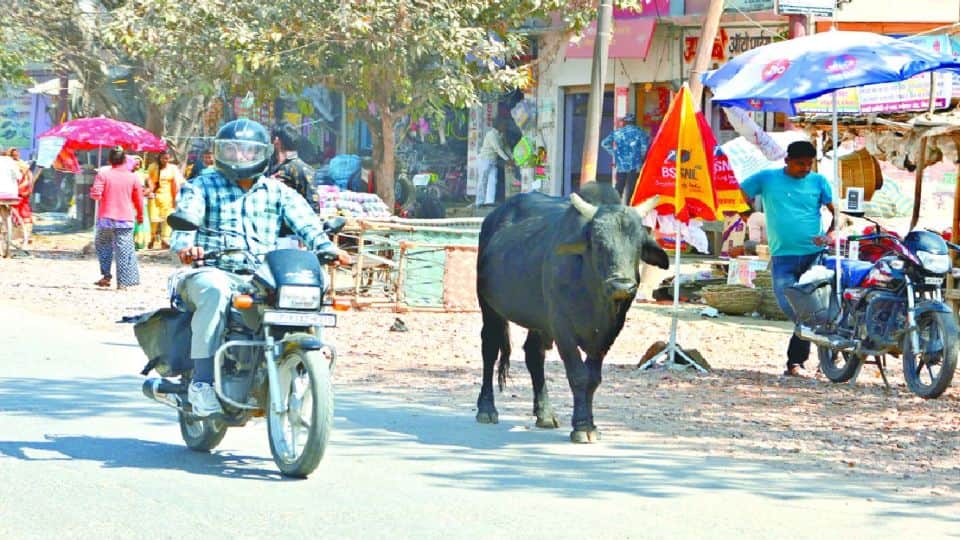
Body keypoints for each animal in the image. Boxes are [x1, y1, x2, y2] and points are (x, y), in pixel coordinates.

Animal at [475, 183, 669, 443]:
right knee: (489, 349)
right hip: (490, 308)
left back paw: (545, 414)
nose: (622, 286)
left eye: (638, 244)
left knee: (533, 355)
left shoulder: (607, 334)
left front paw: (591, 425)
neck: (592, 294)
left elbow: (593, 378)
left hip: (538, 320)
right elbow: (578, 375)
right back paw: (486, 409)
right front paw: (582, 426)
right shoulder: (562, 328)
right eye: (598, 242)